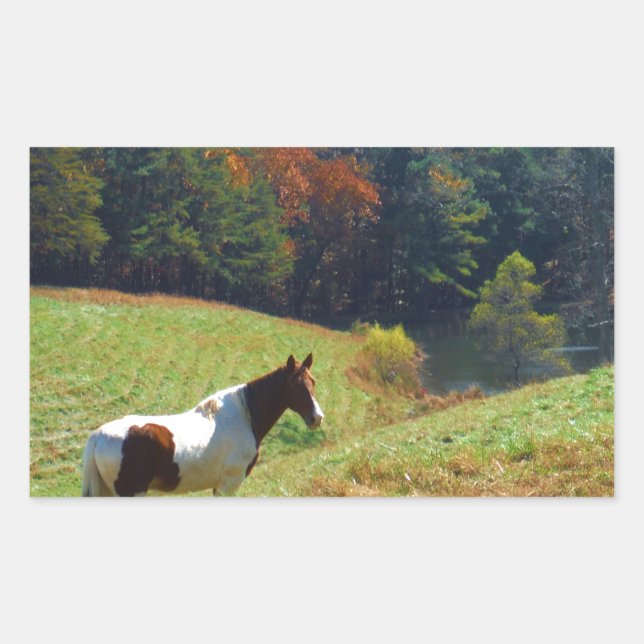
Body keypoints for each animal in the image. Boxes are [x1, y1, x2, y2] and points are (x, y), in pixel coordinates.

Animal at [81, 353, 324, 496]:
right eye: (295, 385)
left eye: (312, 381)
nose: (317, 417)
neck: (243, 417)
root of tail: (99, 435)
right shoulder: (228, 486)